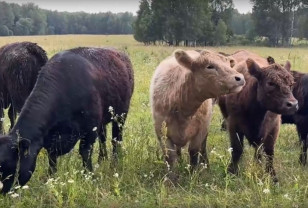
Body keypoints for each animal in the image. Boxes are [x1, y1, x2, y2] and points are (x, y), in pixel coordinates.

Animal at [0, 47, 135, 193]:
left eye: (9, 167)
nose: (3, 192)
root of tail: (120, 54)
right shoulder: (51, 139)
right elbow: (52, 158)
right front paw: (51, 178)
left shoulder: (89, 130)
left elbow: (85, 152)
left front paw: (89, 176)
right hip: (103, 121)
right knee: (103, 138)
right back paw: (102, 159)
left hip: (120, 116)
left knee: (116, 140)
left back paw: (114, 162)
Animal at [150, 49, 245, 179]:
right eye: (209, 66)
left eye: (228, 64)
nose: (240, 78)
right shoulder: (161, 131)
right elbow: (170, 157)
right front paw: (171, 178)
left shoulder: (200, 130)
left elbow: (194, 153)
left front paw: (192, 175)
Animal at [218, 50, 298, 180]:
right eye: (270, 83)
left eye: (291, 84)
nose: (293, 104)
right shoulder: (233, 125)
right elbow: (237, 149)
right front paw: (231, 171)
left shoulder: (273, 128)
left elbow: (269, 152)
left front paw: (271, 175)